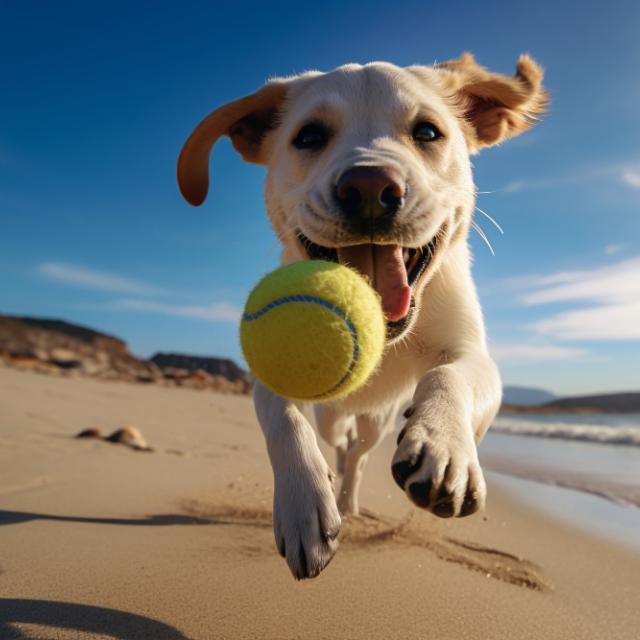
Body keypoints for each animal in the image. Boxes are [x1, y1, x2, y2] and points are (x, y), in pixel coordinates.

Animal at [178, 53, 548, 580]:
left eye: (428, 132)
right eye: (309, 136)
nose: (370, 187)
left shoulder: (473, 355)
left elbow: (449, 376)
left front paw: (443, 446)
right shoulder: (271, 376)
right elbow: (283, 419)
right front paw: (303, 504)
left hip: (379, 420)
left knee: (359, 453)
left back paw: (352, 497)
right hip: (332, 413)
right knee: (339, 440)